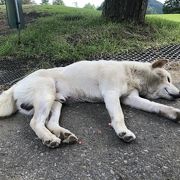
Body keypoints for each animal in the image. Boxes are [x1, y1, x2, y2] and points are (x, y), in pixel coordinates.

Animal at [0, 59, 179, 148]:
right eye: (168, 79)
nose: (178, 94)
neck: (131, 73)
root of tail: (16, 84)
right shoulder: (111, 93)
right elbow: (119, 116)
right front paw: (123, 132)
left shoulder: (131, 98)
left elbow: (155, 106)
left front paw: (174, 113)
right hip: (47, 94)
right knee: (36, 122)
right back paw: (49, 138)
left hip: (57, 103)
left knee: (49, 122)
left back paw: (63, 134)